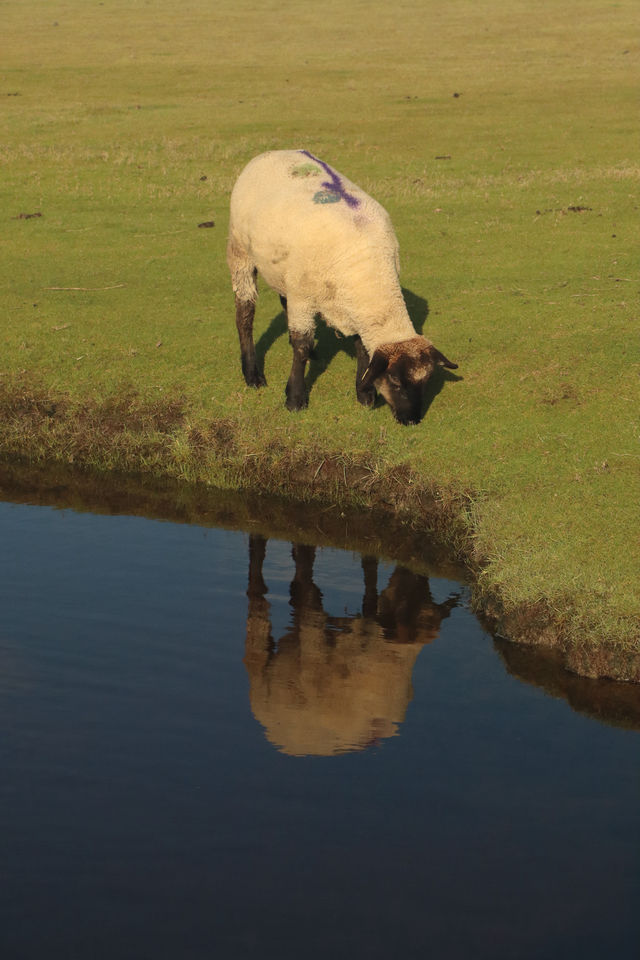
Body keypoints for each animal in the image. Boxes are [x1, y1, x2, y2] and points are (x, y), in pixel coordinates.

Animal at [228, 149, 458, 424]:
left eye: (426, 381)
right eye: (395, 380)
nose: (411, 420)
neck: (370, 274)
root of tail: (273, 152)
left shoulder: (350, 304)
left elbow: (361, 347)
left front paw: (364, 393)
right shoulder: (303, 298)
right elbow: (301, 346)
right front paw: (295, 398)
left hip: (285, 274)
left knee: (284, 302)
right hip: (241, 252)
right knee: (245, 314)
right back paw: (252, 374)